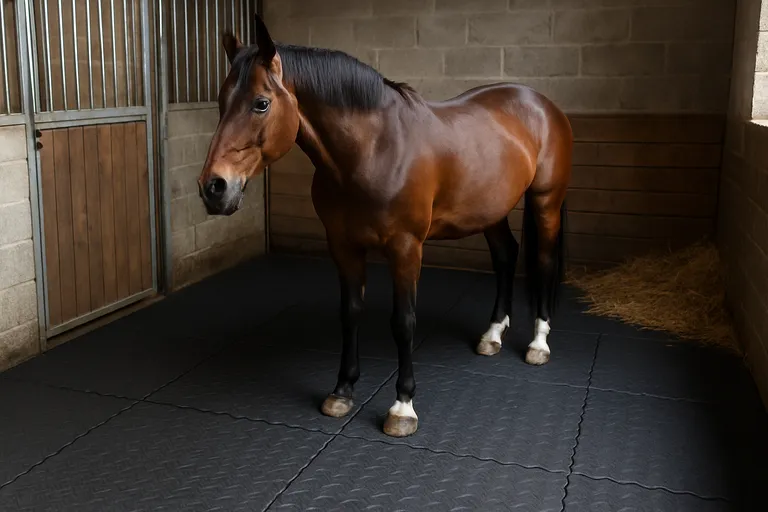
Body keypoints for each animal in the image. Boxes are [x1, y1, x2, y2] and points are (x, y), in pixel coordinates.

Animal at [198, 15, 572, 438]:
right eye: (221, 101)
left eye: (261, 103)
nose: (214, 187)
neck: (373, 150)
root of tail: (541, 103)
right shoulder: (343, 246)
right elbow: (350, 312)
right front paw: (342, 390)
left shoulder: (406, 247)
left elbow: (403, 322)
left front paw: (403, 406)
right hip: (490, 209)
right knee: (506, 256)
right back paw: (492, 333)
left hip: (546, 201)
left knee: (542, 262)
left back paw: (538, 344)